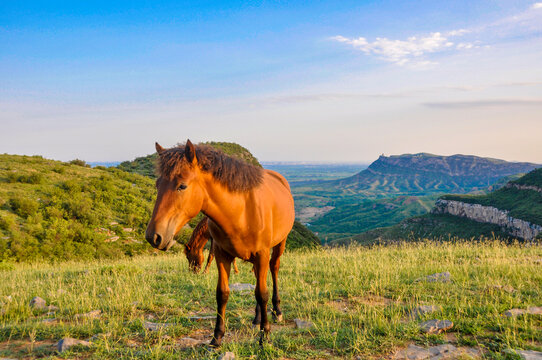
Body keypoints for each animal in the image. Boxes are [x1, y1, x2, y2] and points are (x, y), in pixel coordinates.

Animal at [147, 140, 296, 346]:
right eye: (157, 184)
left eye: (182, 186)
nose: (153, 236)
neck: (240, 211)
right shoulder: (222, 254)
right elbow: (223, 293)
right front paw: (217, 336)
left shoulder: (262, 254)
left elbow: (262, 293)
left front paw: (265, 335)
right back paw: (257, 318)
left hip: (280, 243)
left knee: (273, 269)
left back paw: (276, 312)